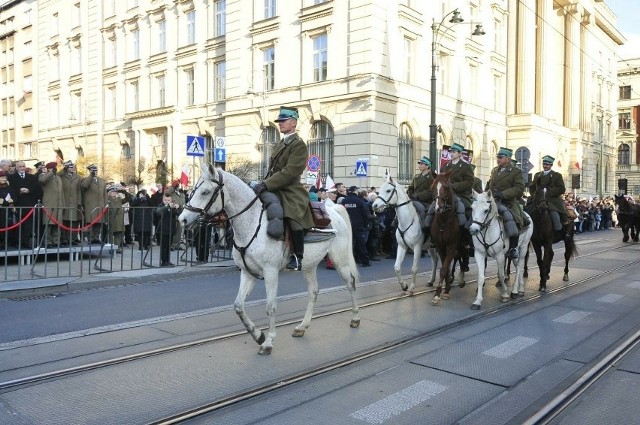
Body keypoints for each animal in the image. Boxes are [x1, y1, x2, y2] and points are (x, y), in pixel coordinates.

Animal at [180, 162, 360, 354]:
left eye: (205, 192)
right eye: (193, 190)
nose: (182, 219)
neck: (252, 224)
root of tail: (333, 210)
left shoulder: (271, 272)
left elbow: (270, 307)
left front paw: (268, 341)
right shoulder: (247, 273)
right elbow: (238, 306)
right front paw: (258, 335)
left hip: (340, 260)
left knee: (351, 284)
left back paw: (355, 318)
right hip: (309, 265)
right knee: (313, 291)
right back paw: (302, 327)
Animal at [430, 171, 470, 304]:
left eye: (446, 187)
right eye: (432, 187)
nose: (438, 208)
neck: (444, 222)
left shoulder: (451, 247)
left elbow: (443, 269)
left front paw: (437, 293)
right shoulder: (440, 248)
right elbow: (445, 268)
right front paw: (446, 290)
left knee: (465, 258)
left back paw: (462, 279)